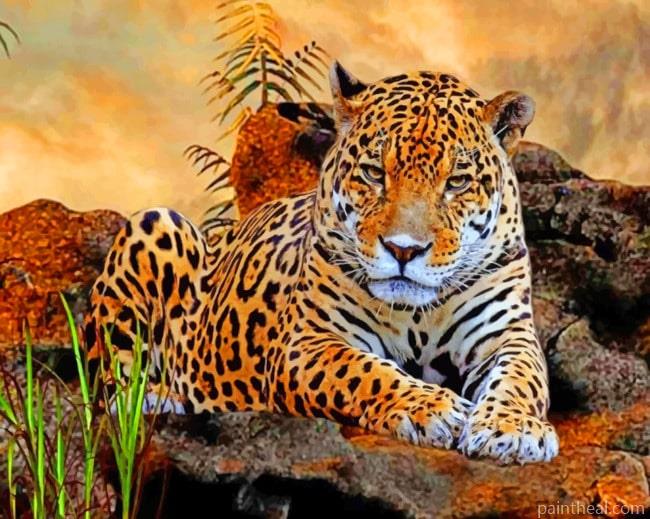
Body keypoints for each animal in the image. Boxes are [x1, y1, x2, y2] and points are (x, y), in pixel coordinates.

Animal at [85, 62, 559, 464]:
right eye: (374, 173)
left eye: (457, 182)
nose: (404, 250)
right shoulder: (308, 343)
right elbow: (366, 371)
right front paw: (433, 408)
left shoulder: (507, 335)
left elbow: (522, 378)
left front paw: (514, 429)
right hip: (155, 223)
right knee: (109, 388)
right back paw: (159, 398)